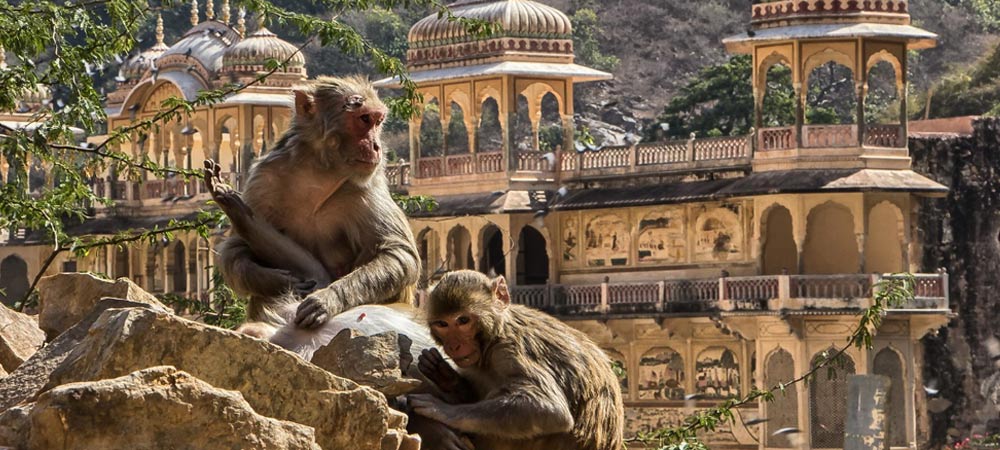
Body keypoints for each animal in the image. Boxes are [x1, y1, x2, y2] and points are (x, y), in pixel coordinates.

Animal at [207, 75, 418, 332]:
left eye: (378, 121)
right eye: (364, 119)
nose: (377, 146)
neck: (319, 173)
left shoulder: (366, 186)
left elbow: (398, 253)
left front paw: (328, 298)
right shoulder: (264, 177)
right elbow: (236, 248)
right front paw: (281, 281)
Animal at [410, 270, 620, 450]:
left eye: (463, 320)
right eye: (443, 324)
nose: (454, 345)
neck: (494, 335)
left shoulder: (508, 351)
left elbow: (550, 409)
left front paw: (442, 410)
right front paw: (444, 375)